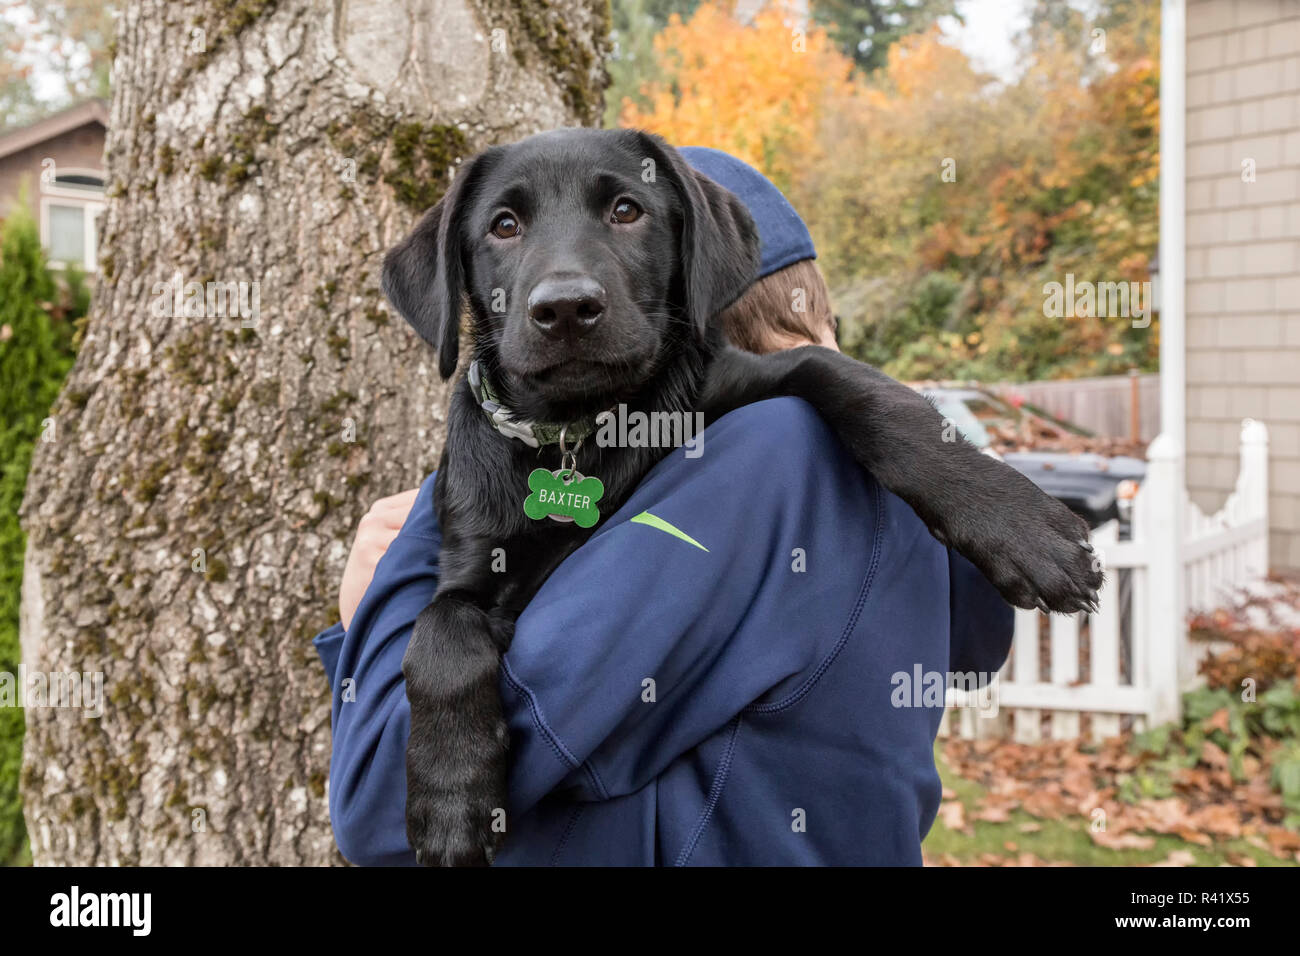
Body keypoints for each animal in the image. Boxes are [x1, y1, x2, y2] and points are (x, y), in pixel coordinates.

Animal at [379, 127, 1102, 868]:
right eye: (504, 226)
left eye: (627, 210)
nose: (566, 308)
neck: (585, 432)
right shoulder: (473, 559)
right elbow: (439, 632)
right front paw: (449, 798)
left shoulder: (747, 377)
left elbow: (866, 391)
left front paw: (1018, 525)